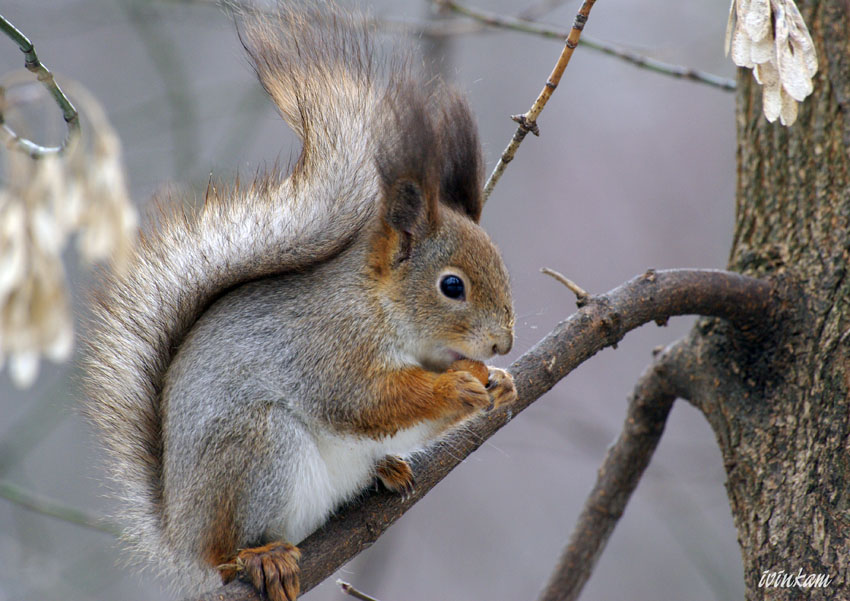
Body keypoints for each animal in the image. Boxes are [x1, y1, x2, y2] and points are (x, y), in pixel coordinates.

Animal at [83, 2, 512, 596]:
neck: (379, 307)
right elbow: (364, 400)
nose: (503, 343)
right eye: (453, 286)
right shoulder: (328, 345)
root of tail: (178, 534)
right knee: (225, 550)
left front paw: (499, 383)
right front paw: (456, 386)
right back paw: (259, 558)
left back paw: (387, 471)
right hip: (257, 449)